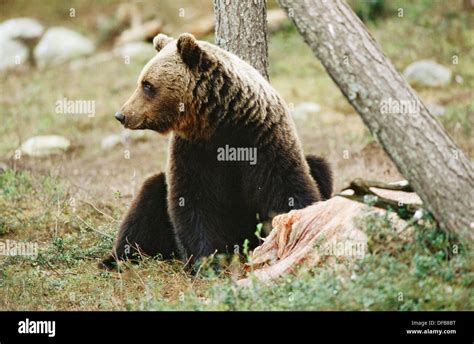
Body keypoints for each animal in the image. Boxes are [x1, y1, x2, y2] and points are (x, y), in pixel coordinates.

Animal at [100, 32, 332, 268]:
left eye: (147, 85)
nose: (122, 115)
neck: (221, 122)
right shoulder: (194, 150)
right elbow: (194, 202)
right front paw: (208, 261)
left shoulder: (263, 139)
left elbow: (286, 189)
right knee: (146, 202)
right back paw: (117, 258)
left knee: (320, 166)